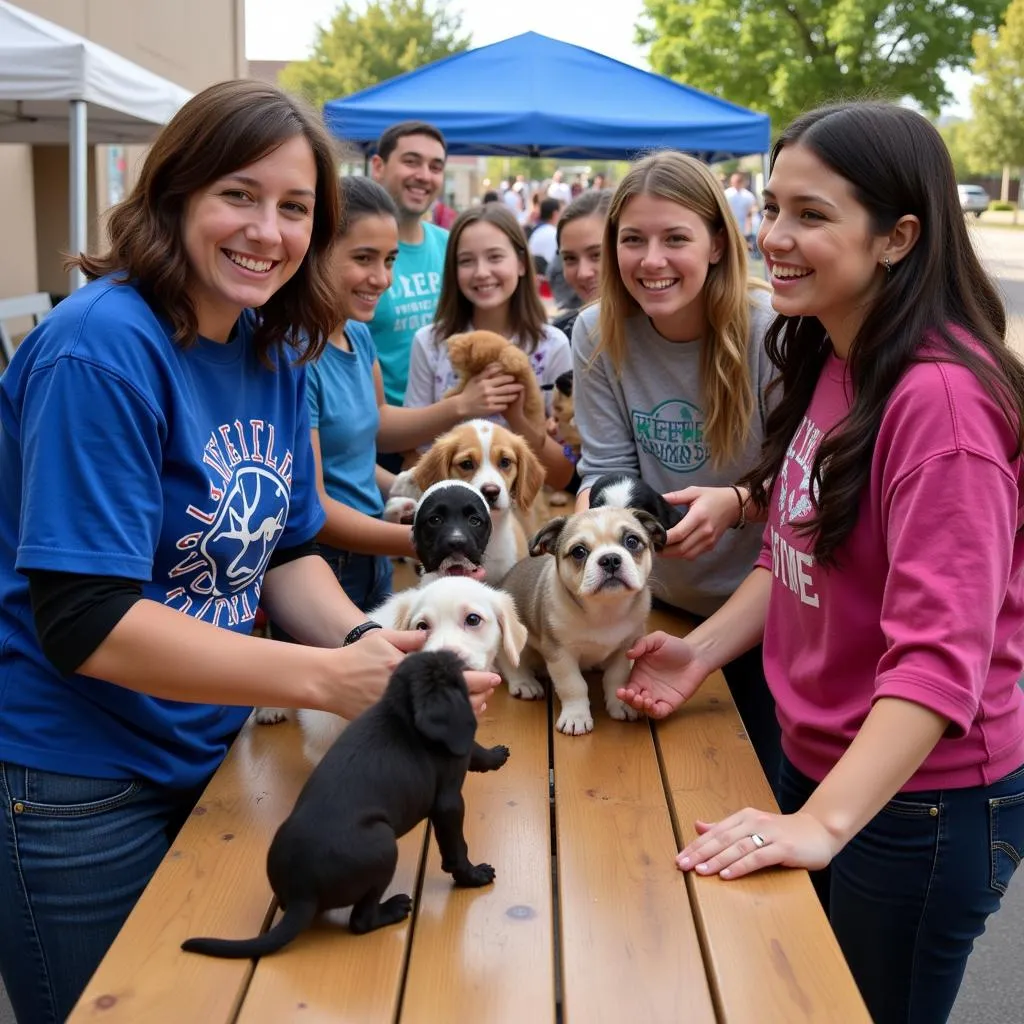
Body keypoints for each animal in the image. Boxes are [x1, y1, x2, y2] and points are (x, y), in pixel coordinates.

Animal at [183, 647, 507, 958]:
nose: (457, 651)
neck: (399, 711)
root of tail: (302, 895)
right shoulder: (449, 803)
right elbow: (457, 848)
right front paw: (473, 875)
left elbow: (476, 749)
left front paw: (495, 755)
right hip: (383, 844)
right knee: (360, 921)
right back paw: (393, 908)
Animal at [497, 505, 671, 733]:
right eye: (579, 552)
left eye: (632, 541)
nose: (610, 559)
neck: (604, 610)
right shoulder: (560, 653)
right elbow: (573, 686)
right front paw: (576, 716)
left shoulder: (626, 648)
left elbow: (617, 678)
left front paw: (620, 705)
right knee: (511, 663)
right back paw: (524, 683)